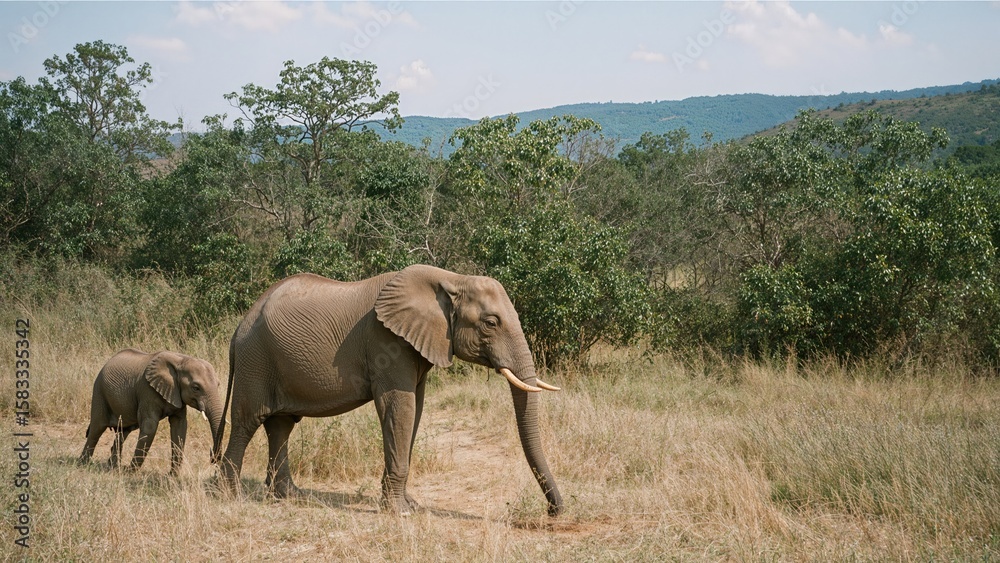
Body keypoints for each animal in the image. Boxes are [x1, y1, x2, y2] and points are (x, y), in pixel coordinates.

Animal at [79, 349, 224, 475]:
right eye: (196, 388)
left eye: (218, 385)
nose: (212, 458)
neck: (180, 360)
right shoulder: (147, 390)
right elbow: (150, 426)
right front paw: (130, 472)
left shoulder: (176, 395)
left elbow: (179, 426)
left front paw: (173, 476)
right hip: (99, 392)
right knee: (97, 429)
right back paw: (83, 464)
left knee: (122, 432)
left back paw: (113, 467)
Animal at [214, 264, 564, 516]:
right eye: (491, 323)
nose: (552, 512)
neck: (451, 279)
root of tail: (239, 327)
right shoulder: (386, 341)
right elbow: (400, 408)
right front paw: (400, 512)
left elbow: (415, 410)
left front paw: (410, 506)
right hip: (255, 361)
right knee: (247, 422)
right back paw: (233, 498)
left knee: (281, 425)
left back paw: (290, 497)